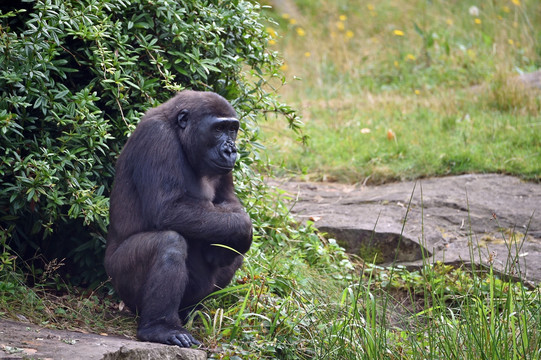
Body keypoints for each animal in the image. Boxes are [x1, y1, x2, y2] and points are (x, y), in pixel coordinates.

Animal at [105, 90, 253, 346]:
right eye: (218, 129)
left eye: (232, 129)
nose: (231, 149)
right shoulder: (157, 137)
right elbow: (167, 210)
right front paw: (245, 229)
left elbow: (230, 204)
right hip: (119, 281)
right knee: (169, 243)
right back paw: (160, 327)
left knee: (230, 251)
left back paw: (191, 313)